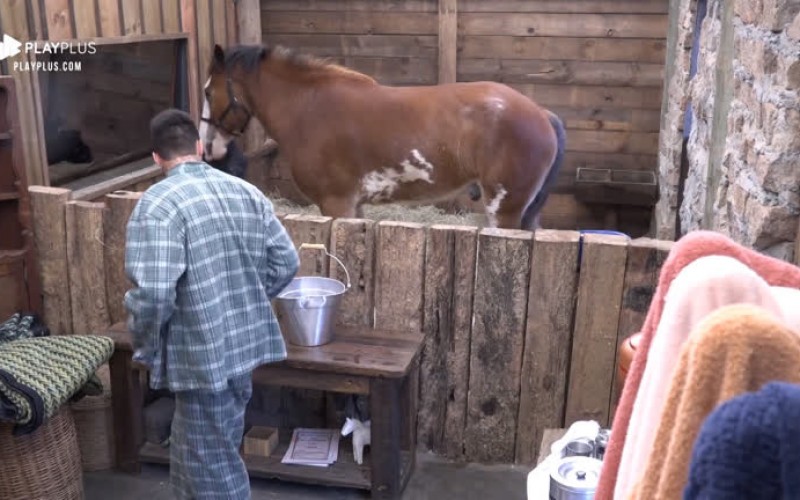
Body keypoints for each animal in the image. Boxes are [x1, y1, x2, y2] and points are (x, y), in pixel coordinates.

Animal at [199, 43, 566, 230]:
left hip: (504, 212)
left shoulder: (336, 204)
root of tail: (540, 112)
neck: (311, 107)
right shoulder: (353, 205)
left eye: (207, 92)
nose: (209, 148)